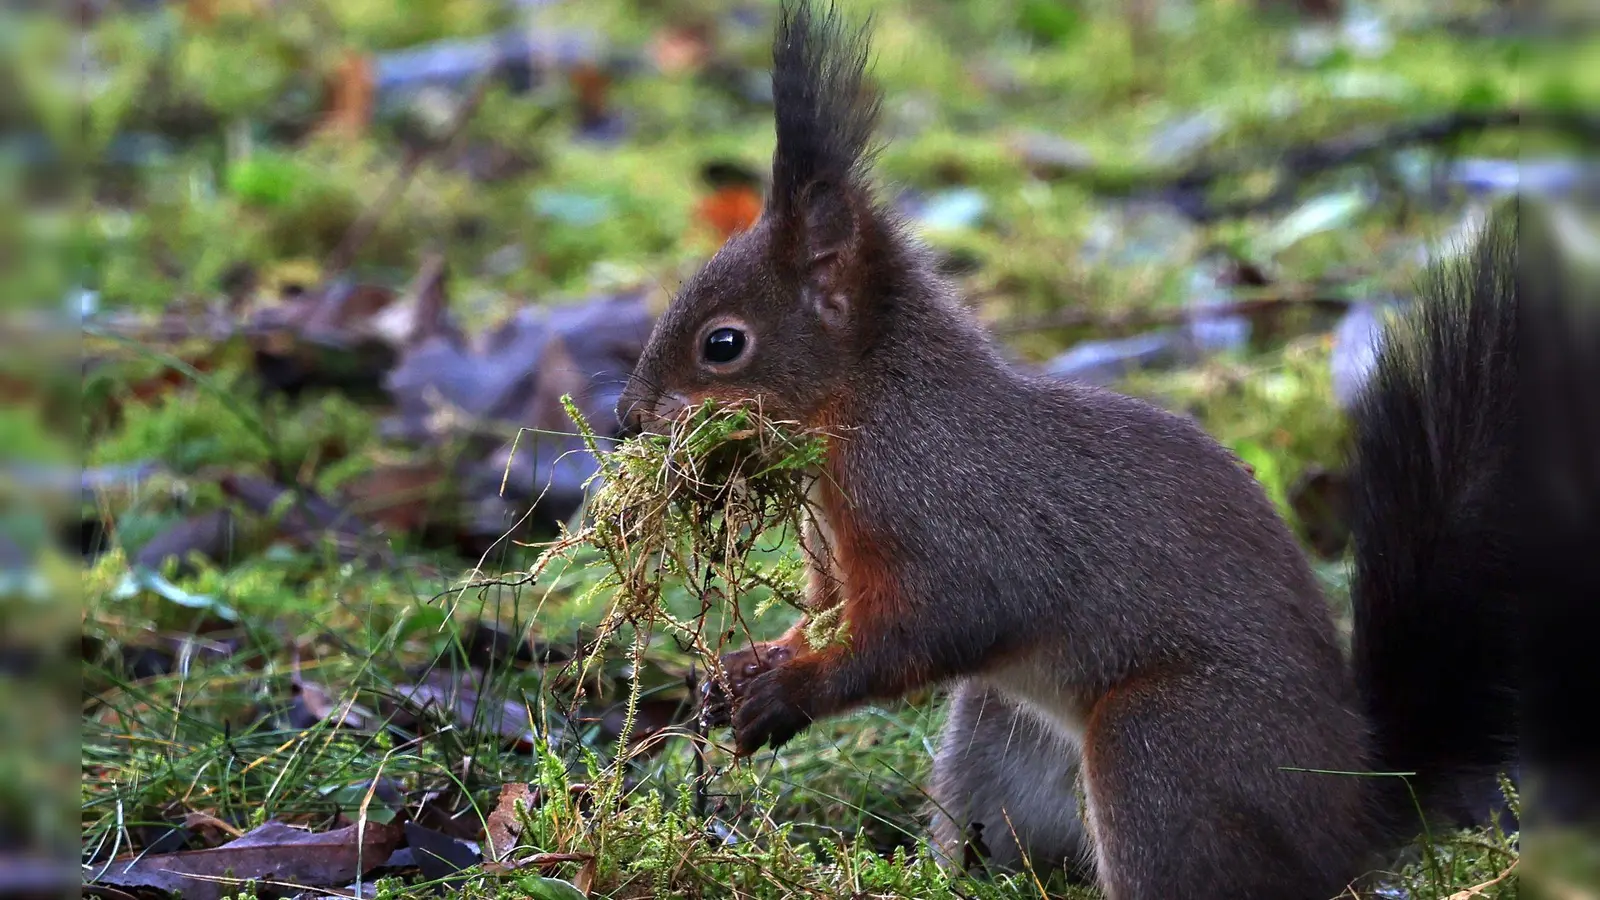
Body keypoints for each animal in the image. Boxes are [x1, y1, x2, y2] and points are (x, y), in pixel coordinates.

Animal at [617, 3, 1516, 890]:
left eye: (723, 344)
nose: (627, 416)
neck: (870, 408)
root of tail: (1352, 815)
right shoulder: (834, 548)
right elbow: (827, 613)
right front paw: (738, 670)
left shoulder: (949, 516)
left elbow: (930, 625)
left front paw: (788, 693)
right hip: (994, 732)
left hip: (1161, 747)